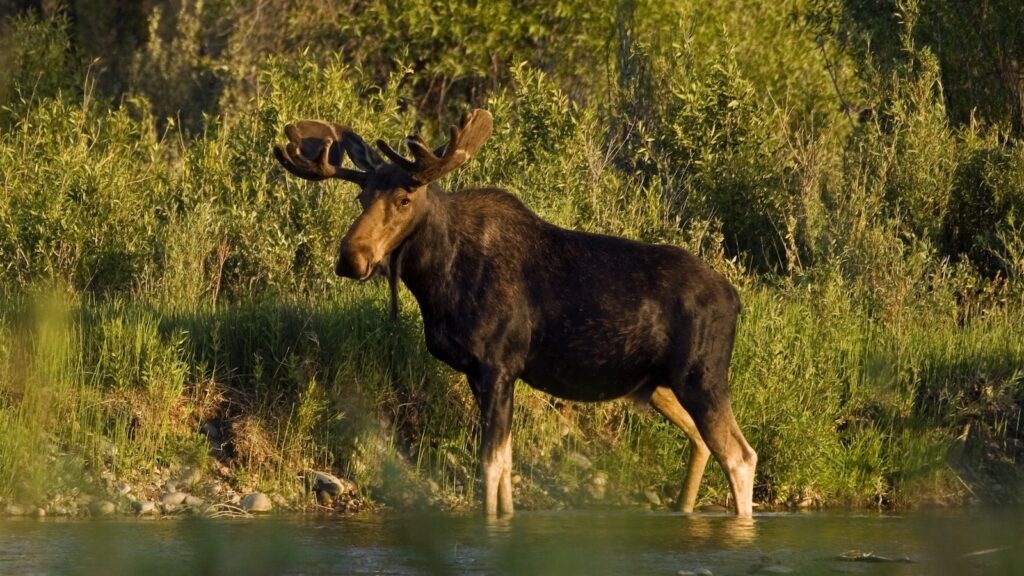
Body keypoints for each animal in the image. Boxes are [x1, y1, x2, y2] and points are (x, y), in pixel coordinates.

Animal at [276, 108, 757, 516]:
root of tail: (735, 298)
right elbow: (506, 464)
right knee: (704, 443)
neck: (436, 280)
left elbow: (489, 465)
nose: (351, 258)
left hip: (703, 378)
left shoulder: (499, 365)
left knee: (741, 455)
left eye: (405, 199)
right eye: (361, 197)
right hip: (658, 385)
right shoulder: (477, 372)